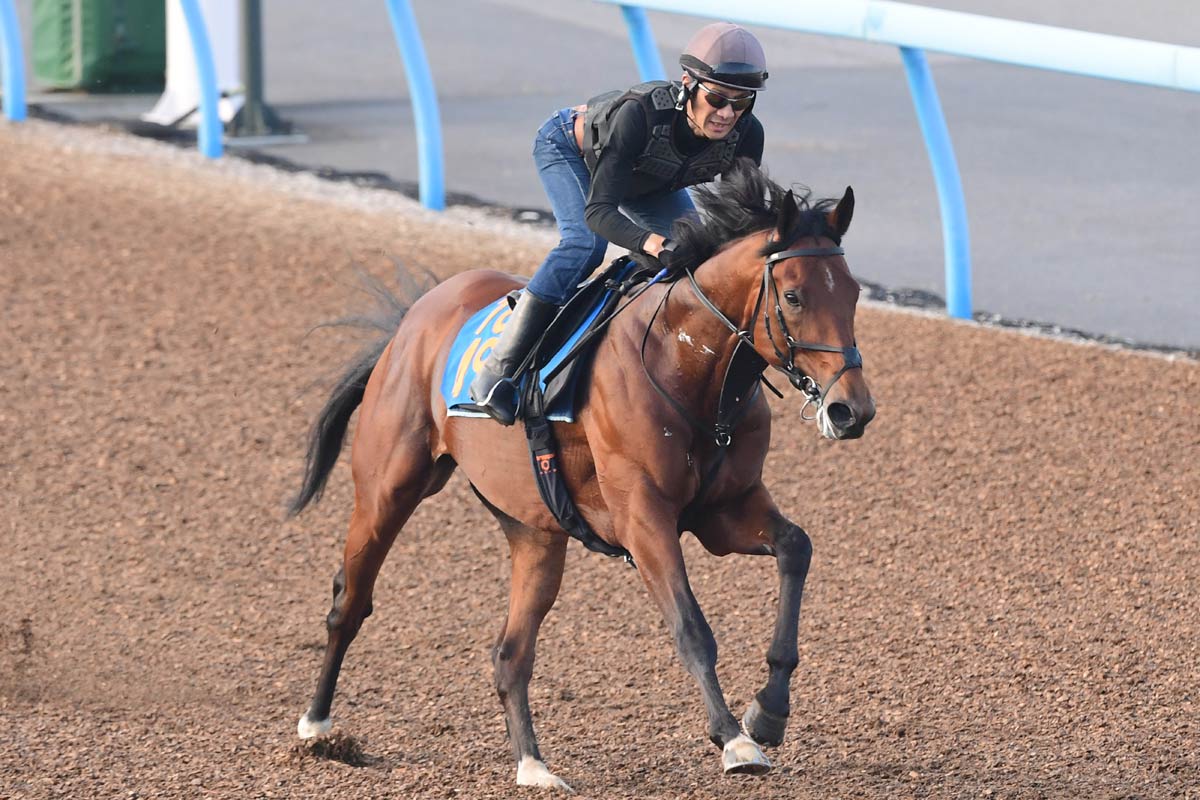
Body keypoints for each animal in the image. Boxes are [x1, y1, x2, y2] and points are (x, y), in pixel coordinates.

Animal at [289, 160, 875, 791]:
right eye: (793, 295)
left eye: (854, 293)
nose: (852, 409)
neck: (686, 362)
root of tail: (410, 321)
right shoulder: (644, 519)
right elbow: (691, 627)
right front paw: (734, 739)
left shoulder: (727, 510)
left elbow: (796, 548)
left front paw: (768, 711)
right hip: (387, 489)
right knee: (350, 603)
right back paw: (318, 728)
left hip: (534, 532)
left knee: (510, 653)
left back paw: (534, 767)